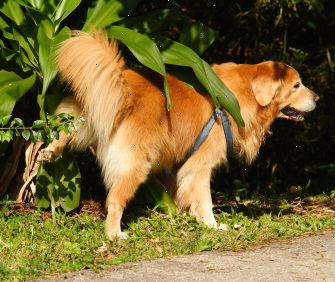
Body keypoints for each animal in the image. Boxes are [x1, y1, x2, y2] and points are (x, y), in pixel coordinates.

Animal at [39, 32, 320, 239]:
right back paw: (114, 234)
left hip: (87, 116)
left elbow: (183, 194)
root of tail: (124, 86)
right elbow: (204, 199)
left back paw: (48, 152)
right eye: (297, 85)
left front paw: (188, 217)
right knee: (115, 200)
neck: (241, 97)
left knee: (66, 129)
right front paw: (212, 225)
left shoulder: (179, 164)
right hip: (135, 163)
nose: (318, 98)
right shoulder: (200, 165)